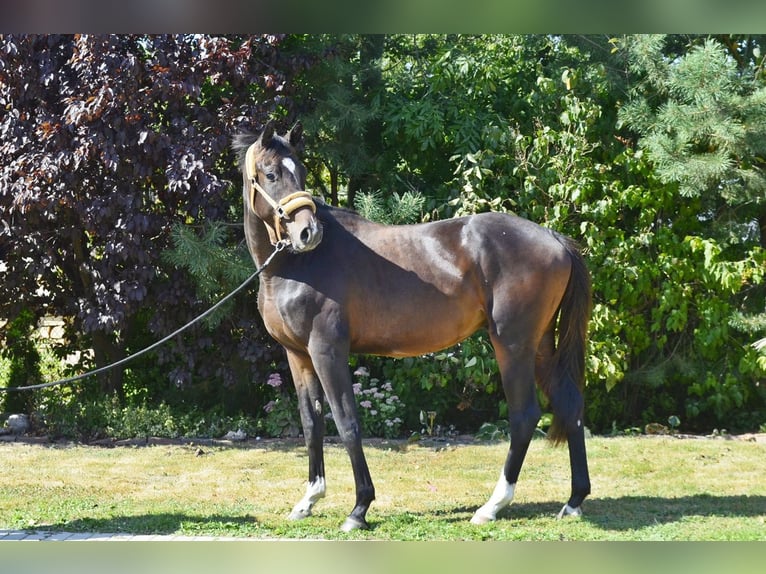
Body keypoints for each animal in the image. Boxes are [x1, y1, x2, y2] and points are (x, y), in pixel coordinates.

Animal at [234, 122, 592, 536]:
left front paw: (359, 508)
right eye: (272, 174)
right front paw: (308, 500)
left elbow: (347, 422)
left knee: (524, 416)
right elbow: (312, 424)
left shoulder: (327, 350)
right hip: (540, 345)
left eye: (302, 172)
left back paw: (492, 506)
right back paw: (574, 501)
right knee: (570, 404)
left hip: (512, 344)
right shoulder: (298, 355)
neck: (295, 266)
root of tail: (554, 238)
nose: (308, 232)